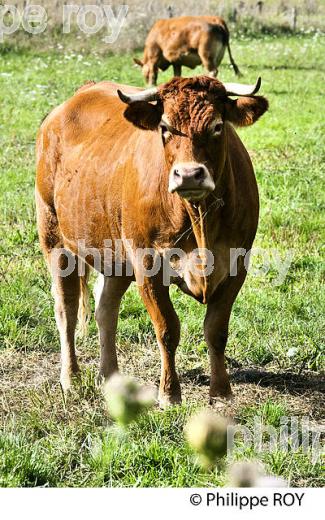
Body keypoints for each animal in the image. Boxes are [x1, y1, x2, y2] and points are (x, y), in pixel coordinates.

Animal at [35, 74, 268, 406]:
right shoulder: (148, 265)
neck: (199, 220)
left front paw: (222, 392)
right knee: (66, 309)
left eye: (217, 126)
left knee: (105, 308)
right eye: (165, 128)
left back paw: (111, 377)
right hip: (55, 236)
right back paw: (71, 379)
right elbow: (167, 329)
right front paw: (169, 393)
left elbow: (216, 330)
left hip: (115, 255)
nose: (189, 174)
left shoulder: (236, 265)